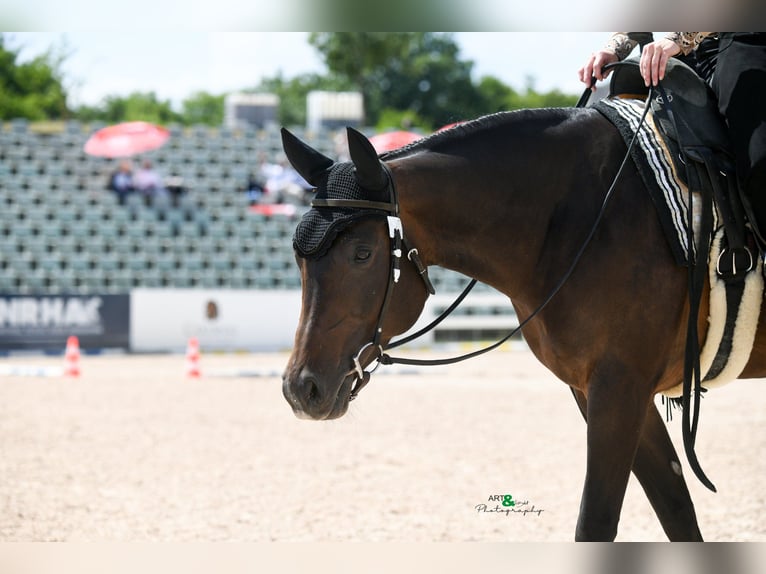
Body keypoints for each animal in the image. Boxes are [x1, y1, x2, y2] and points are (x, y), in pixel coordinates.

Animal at [279, 108, 766, 541]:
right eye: (298, 256)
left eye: (362, 253)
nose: (301, 389)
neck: (578, 220)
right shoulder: (608, 391)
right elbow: (676, 510)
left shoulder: (620, 387)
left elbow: (596, 522)